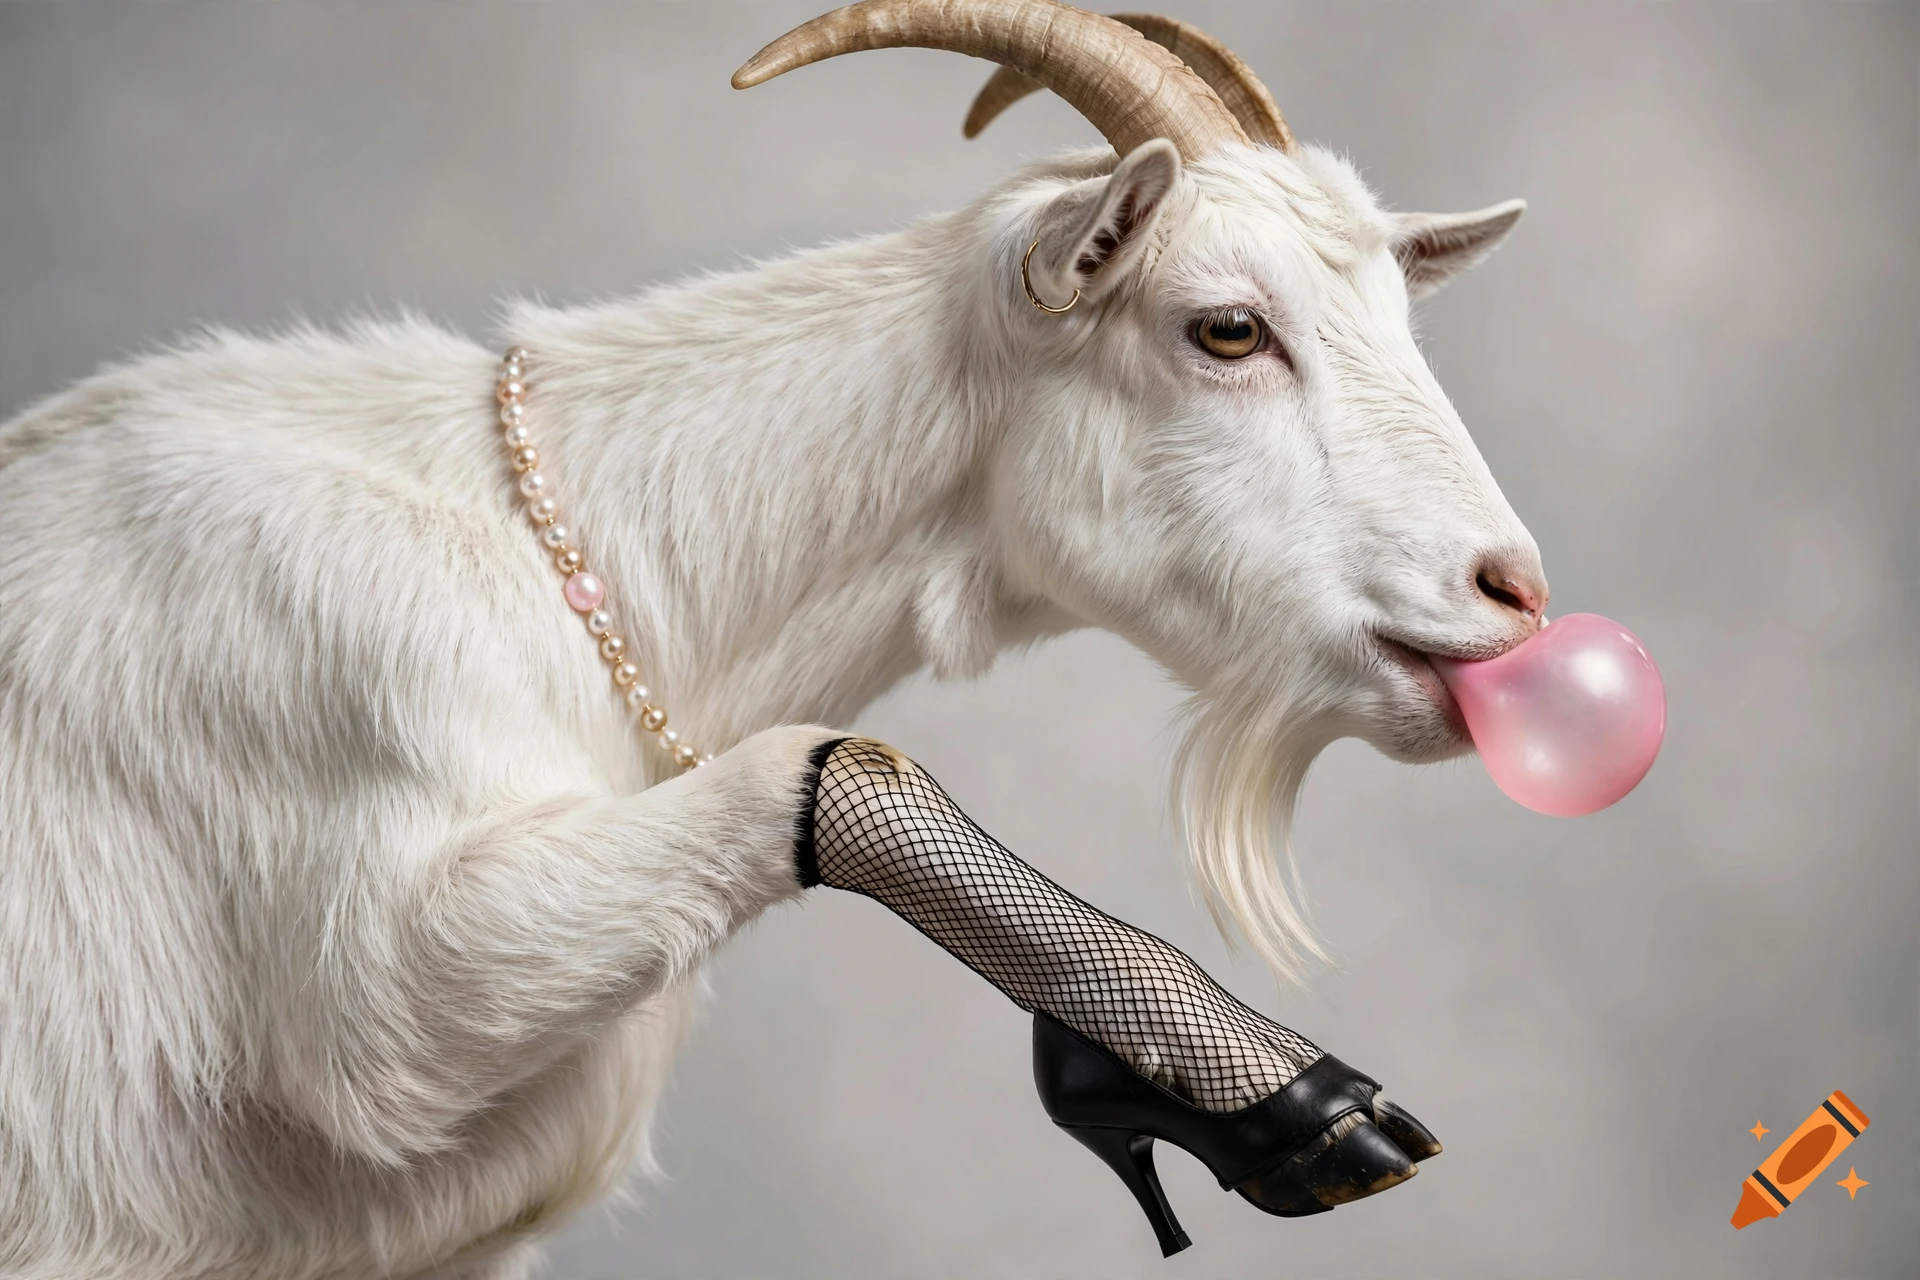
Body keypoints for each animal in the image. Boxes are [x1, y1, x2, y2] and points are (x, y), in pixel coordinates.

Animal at [0, 2, 1547, 1276]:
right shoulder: (369, 931)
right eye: (1226, 327)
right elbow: (816, 771)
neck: (575, 554)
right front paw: (1260, 1089)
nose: (1515, 591)